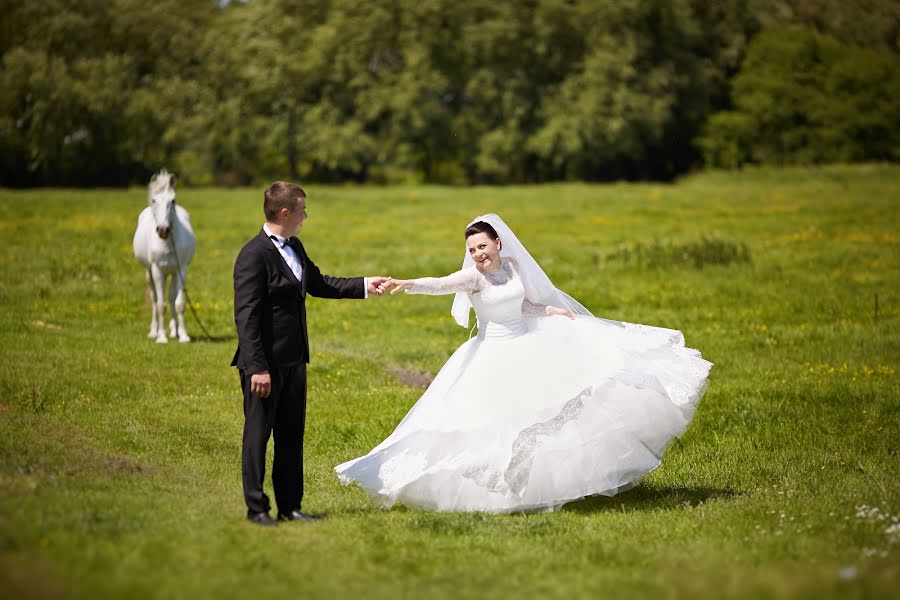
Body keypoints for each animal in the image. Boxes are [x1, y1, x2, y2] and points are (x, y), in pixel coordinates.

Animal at [133, 169, 196, 344]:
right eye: (154, 200)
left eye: (172, 201)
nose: (163, 230)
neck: (167, 243)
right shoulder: (157, 270)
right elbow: (161, 305)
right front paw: (161, 337)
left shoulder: (182, 269)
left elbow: (179, 303)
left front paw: (183, 336)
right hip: (150, 272)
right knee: (155, 299)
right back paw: (154, 331)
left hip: (172, 272)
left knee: (171, 296)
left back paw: (174, 331)